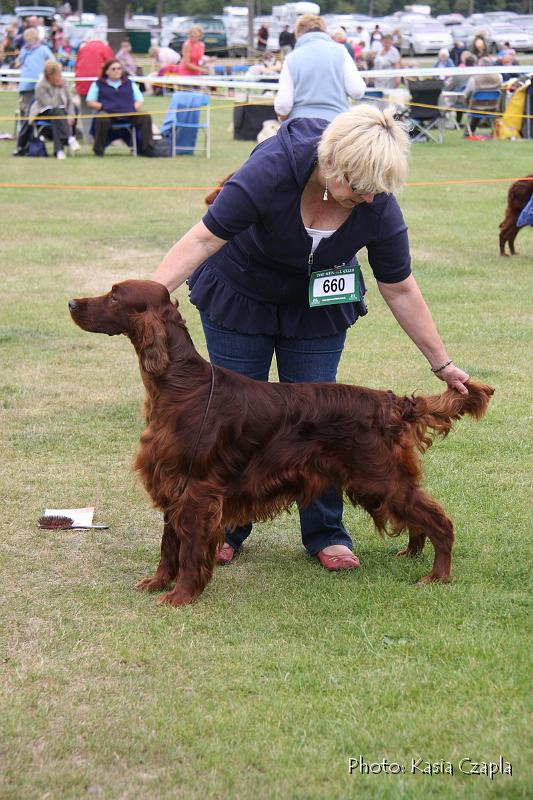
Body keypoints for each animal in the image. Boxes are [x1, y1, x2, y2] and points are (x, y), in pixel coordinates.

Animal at [68, 282, 492, 608]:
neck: (181, 385)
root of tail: (391, 402)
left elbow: (187, 551)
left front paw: (180, 597)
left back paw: (437, 575)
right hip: (377, 484)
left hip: (378, 478)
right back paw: (412, 553)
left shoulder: (197, 492)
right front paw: (157, 583)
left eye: (114, 296)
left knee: (439, 518)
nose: (71, 303)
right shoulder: (172, 485)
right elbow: (168, 545)